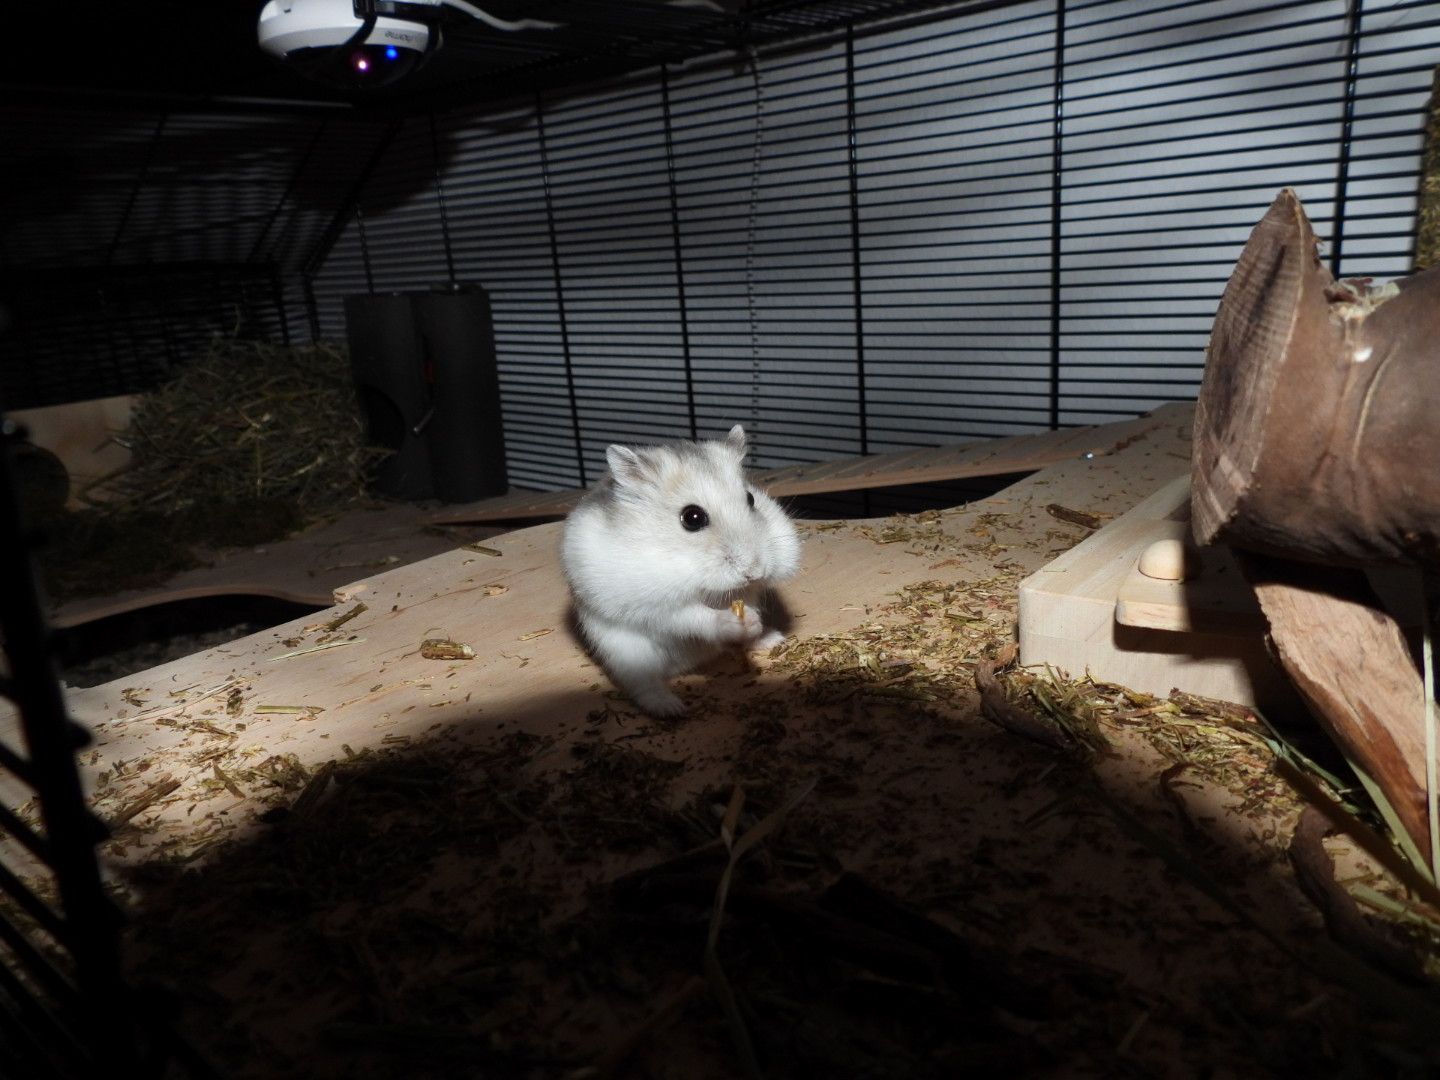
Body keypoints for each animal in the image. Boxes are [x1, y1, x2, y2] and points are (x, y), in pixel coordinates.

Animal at [561, 424, 801, 718]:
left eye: (750, 498)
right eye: (692, 518)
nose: (755, 570)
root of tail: (686, 665)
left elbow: (750, 599)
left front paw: (753, 621)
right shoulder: (659, 603)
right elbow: (694, 615)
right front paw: (738, 621)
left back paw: (772, 639)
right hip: (624, 651)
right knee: (643, 683)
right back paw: (672, 709)